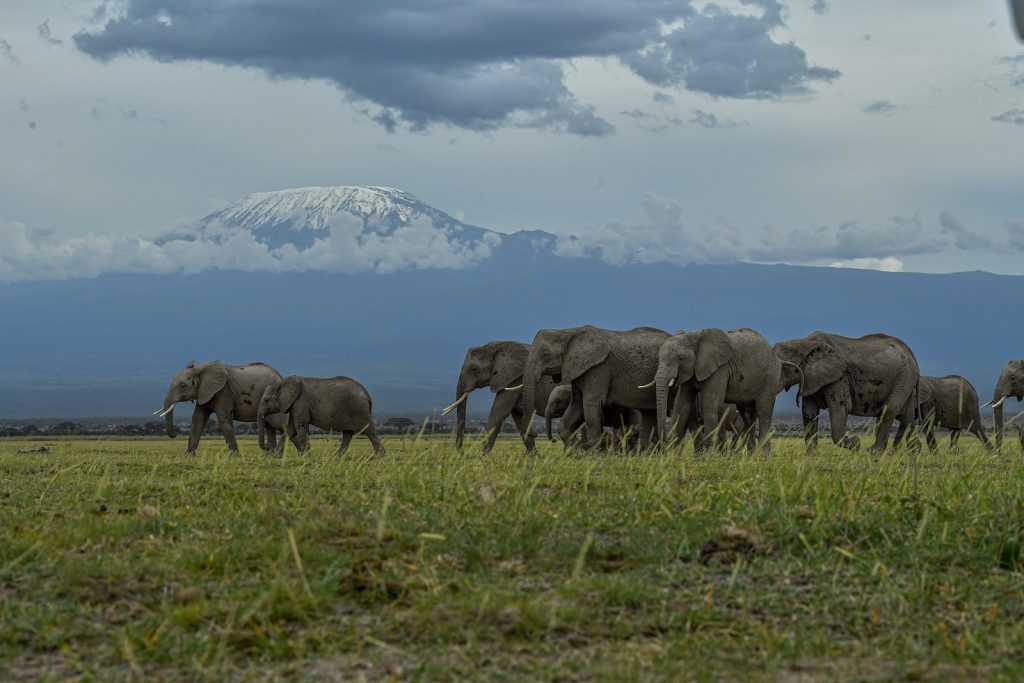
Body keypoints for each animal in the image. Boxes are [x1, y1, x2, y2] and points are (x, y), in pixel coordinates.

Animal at [158, 360, 287, 455]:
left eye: (183, 386)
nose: (175, 435)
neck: (201, 368)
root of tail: (280, 377)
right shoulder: (204, 393)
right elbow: (197, 419)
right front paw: (188, 455)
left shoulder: (223, 392)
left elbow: (223, 418)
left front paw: (234, 455)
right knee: (269, 425)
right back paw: (269, 454)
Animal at [517, 325, 670, 451]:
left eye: (545, 355)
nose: (535, 433)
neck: (568, 332)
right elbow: (576, 406)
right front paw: (577, 451)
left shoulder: (599, 369)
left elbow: (590, 406)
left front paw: (593, 456)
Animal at [643, 328, 781, 452]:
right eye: (658, 357)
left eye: (681, 358)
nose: (663, 447)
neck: (693, 336)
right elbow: (681, 405)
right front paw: (671, 455)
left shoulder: (720, 369)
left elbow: (709, 403)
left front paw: (707, 456)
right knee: (747, 414)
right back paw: (752, 455)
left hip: (770, 377)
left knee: (764, 411)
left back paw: (763, 455)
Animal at [774, 332, 920, 453]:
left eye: (786, 367)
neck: (804, 342)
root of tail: (910, 352)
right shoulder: (812, 377)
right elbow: (809, 412)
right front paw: (811, 456)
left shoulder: (839, 377)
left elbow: (840, 408)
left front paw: (856, 443)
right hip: (905, 381)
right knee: (906, 416)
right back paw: (914, 452)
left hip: (904, 377)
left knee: (889, 410)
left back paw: (874, 452)